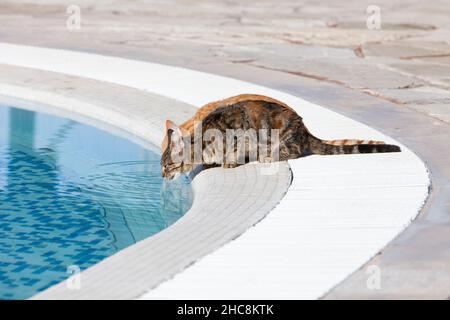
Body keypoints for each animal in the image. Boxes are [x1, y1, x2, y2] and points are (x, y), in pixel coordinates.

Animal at [162, 94, 400, 180]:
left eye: (166, 166)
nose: (162, 176)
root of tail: (305, 130)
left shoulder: (241, 132)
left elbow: (234, 151)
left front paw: (228, 161)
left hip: (278, 133)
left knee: (292, 151)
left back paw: (268, 156)